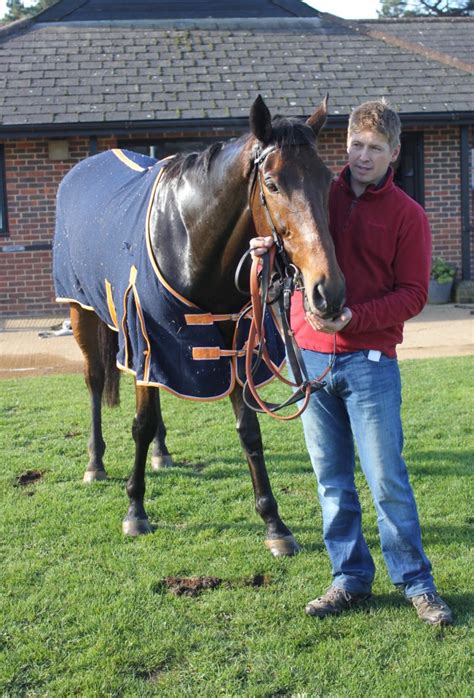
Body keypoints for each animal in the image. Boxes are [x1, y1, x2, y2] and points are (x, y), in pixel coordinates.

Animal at [52, 96, 344, 556]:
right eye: (273, 184)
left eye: (327, 179)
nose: (326, 291)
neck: (187, 238)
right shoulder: (148, 334)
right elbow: (140, 423)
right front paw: (135, 510)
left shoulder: (234, 341)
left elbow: (248, 430)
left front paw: (274, 523)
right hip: (84, 311)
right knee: (96, 379)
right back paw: (95, 462)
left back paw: (162, 453)